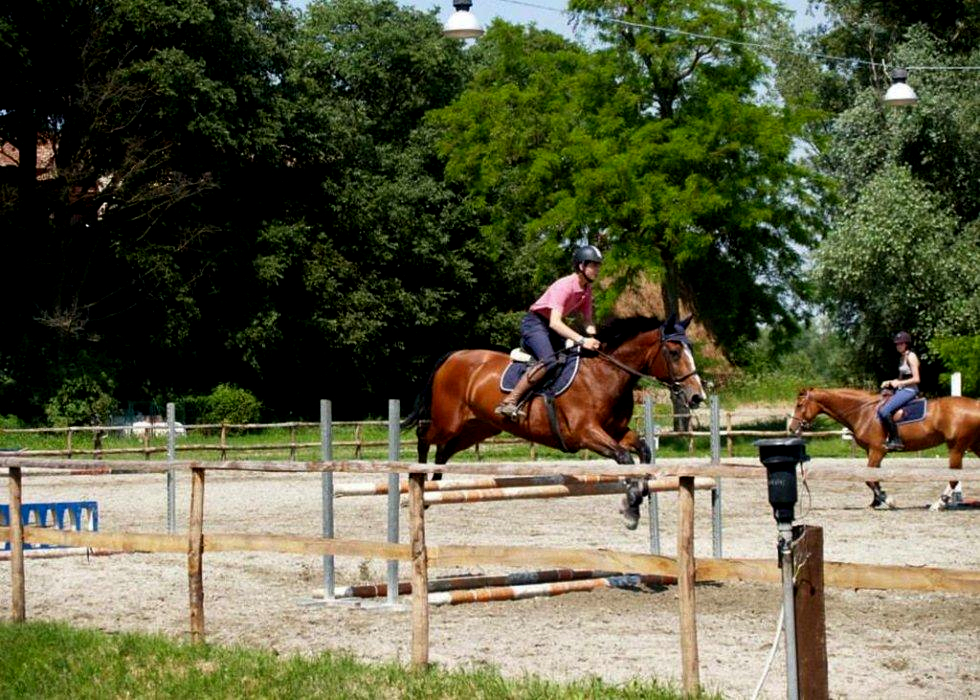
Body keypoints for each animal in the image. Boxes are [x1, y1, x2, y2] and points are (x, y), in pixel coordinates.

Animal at [402, 314, 708, 528]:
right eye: (674, 352)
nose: (697, 397)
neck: (605, 374)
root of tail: (453, 355)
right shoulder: (586, 433)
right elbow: (624, 457)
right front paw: (631, 507)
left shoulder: (616, 431)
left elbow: (643, 451)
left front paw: (637, 498)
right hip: (449, 420)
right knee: (423, 437)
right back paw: (418, 480)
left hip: (478, 428)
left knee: (444, 450)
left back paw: (432, 489)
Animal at [788, 388, 980, 508]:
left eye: (799, 405)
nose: (791, 428)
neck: (863, 412)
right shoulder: (872, 452)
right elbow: (874, 477)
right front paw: (876, 502)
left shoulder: (877, 450)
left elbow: (869, 479)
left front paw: (888, 500)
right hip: (973, 445)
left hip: (956, 447)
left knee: (954, 478)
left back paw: (939, 503)